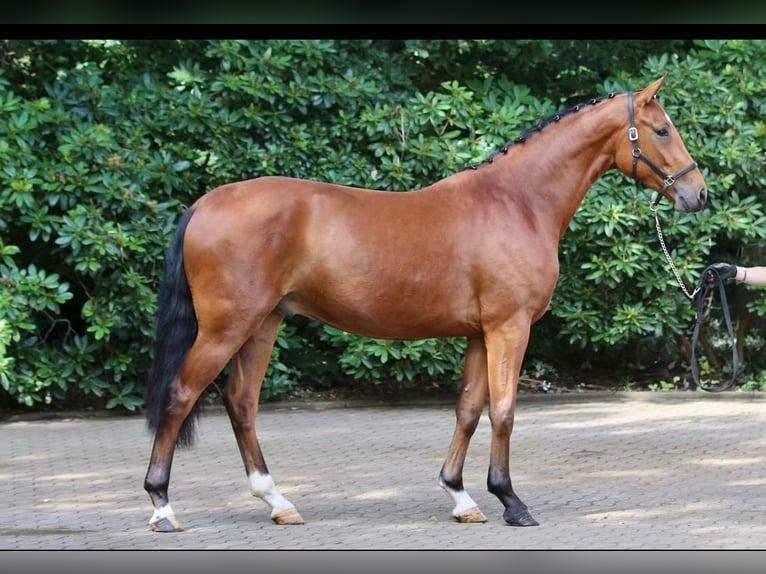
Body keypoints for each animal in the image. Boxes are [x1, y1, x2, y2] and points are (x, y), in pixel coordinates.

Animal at [142, 75, 708, 532]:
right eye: (662, 131)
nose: (699, 195)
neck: (518, 202)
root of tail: (203, 205)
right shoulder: (510, 327)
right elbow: (504, 411)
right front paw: (511, 502)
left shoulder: (481, 332)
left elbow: (468, 409)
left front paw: (461, 496)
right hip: (226, 327)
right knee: (181, 395)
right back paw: (162, 507)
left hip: (263, 324)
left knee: (242, 402)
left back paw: (277, 502)